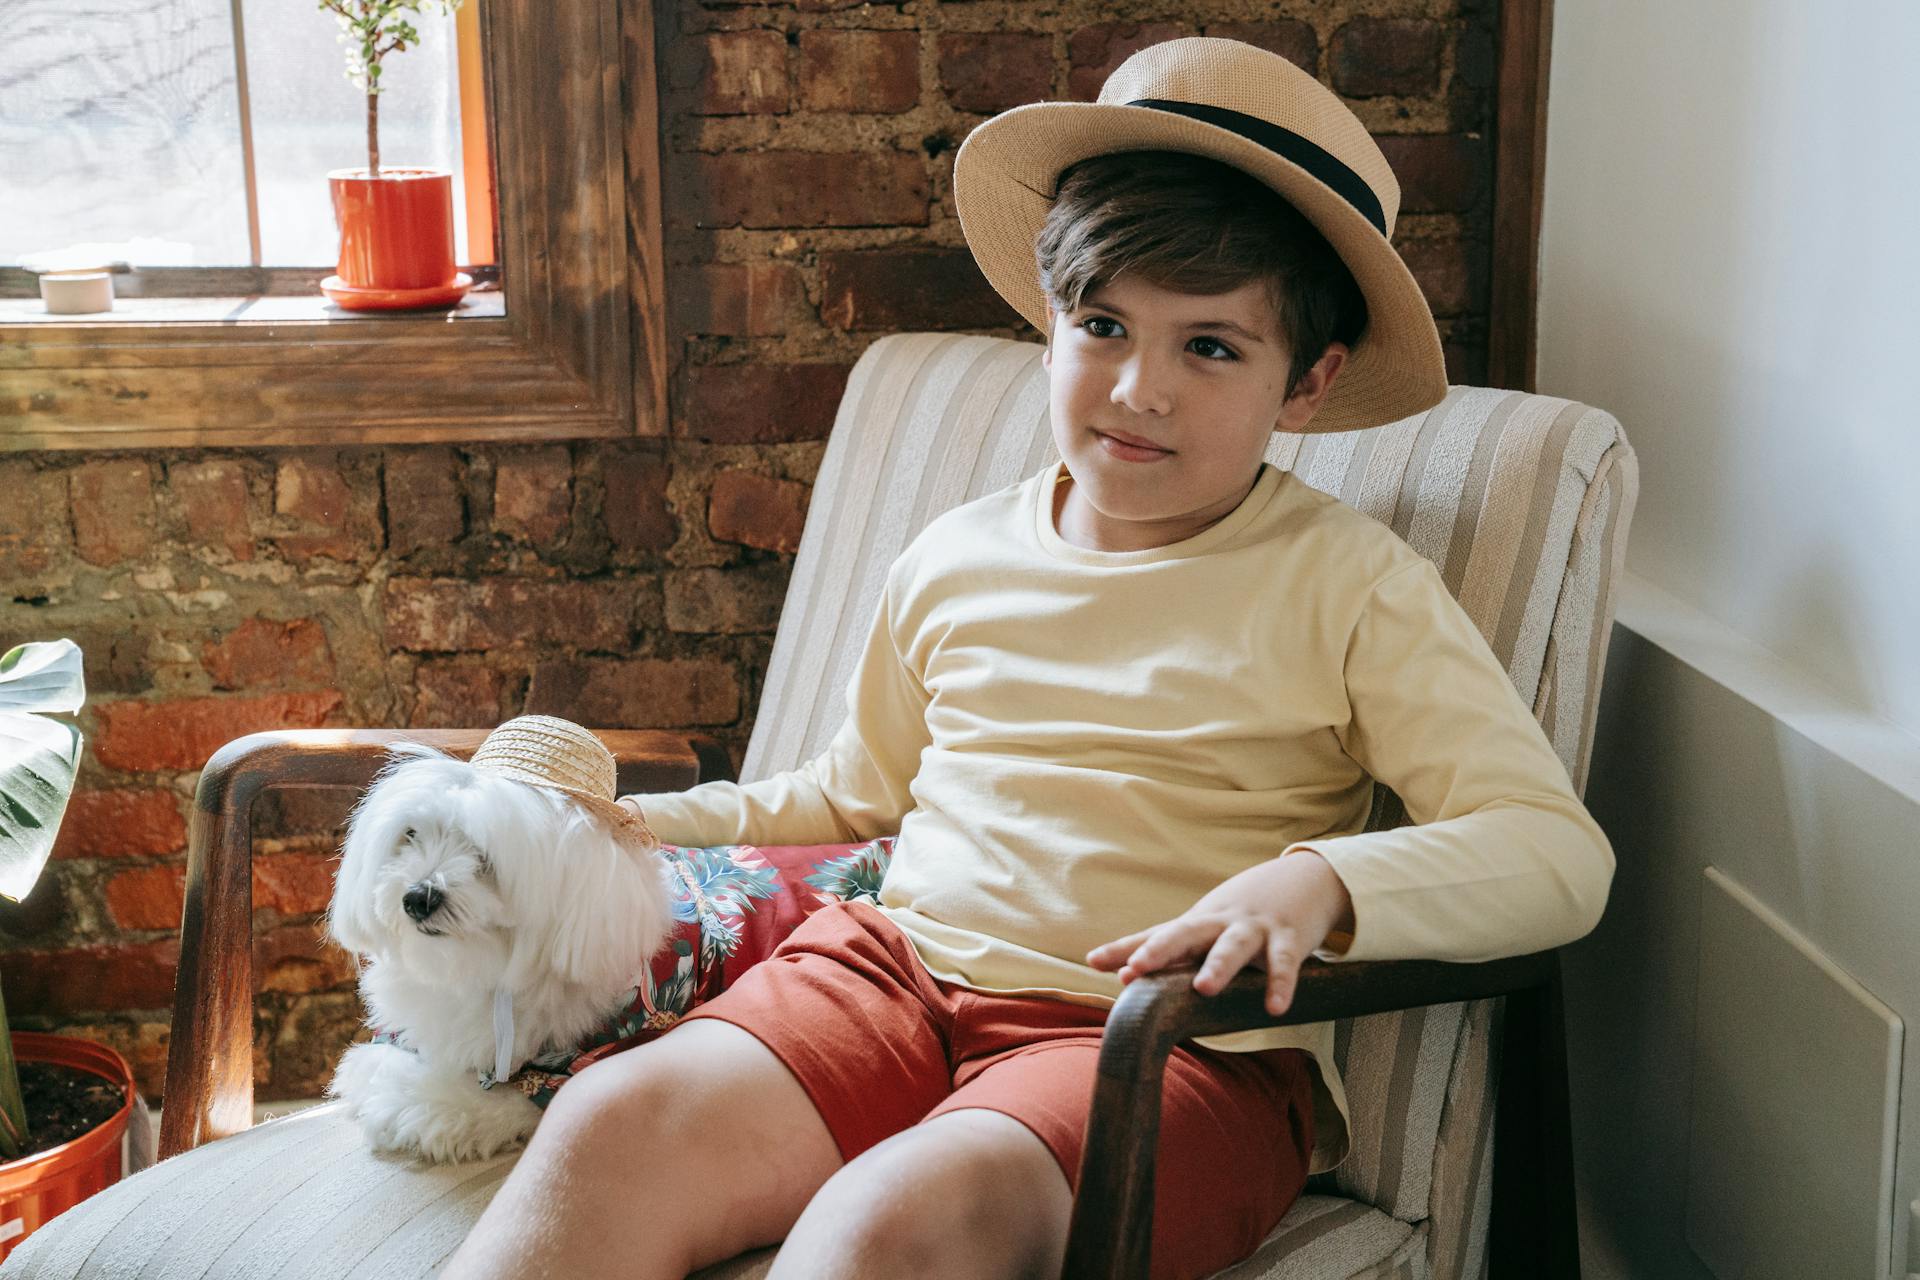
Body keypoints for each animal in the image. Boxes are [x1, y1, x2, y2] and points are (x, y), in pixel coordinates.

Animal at [320, 717, 668, 1166]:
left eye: (484, 854)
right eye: (411, 834)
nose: (417, 898)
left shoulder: (594, 1052)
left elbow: (509, 1097)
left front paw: (412, 1101)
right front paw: (373, 1064)